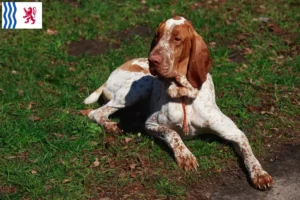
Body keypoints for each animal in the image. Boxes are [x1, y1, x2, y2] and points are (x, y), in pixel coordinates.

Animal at [84, 16, 274, 190]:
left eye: (177, 39)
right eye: (157, 36)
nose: (152, 60)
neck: (184, 94)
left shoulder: (234, 132)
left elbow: (248, 153)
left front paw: (260, 174)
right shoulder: (151, 123)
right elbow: (173, 134)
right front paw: (186, 156)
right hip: (138, 88)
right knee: (96, 112)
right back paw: (111, 126)